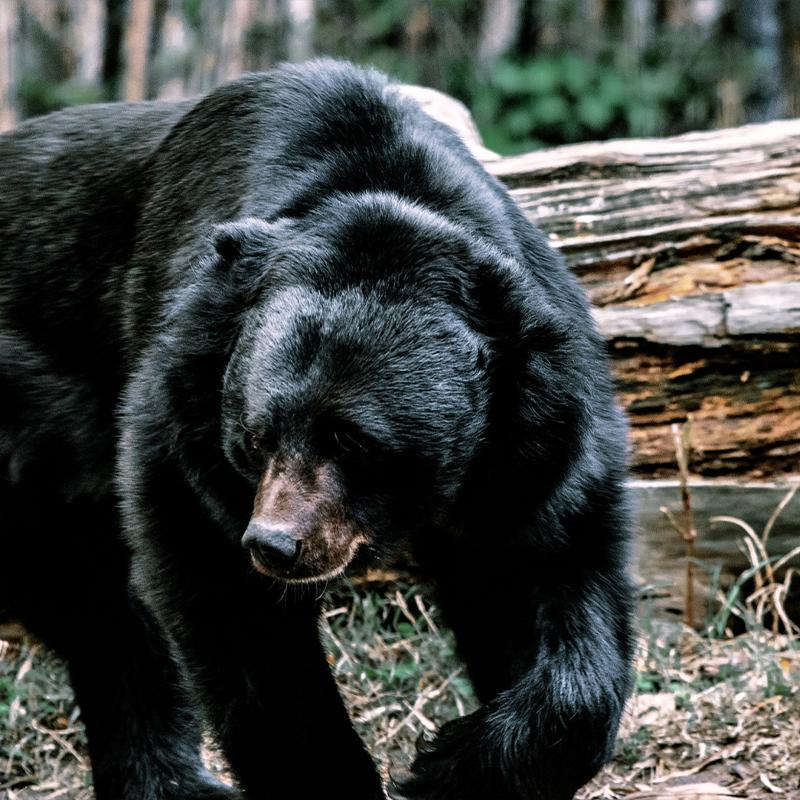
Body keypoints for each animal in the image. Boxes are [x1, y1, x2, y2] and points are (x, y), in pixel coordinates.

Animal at [0, 60, 635, 800]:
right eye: (255, 438)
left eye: (355, 441)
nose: (275, 544)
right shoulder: (182, 406)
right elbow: (232, 607)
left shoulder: (534, 437)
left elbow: (547, 567)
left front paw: (454, 761)